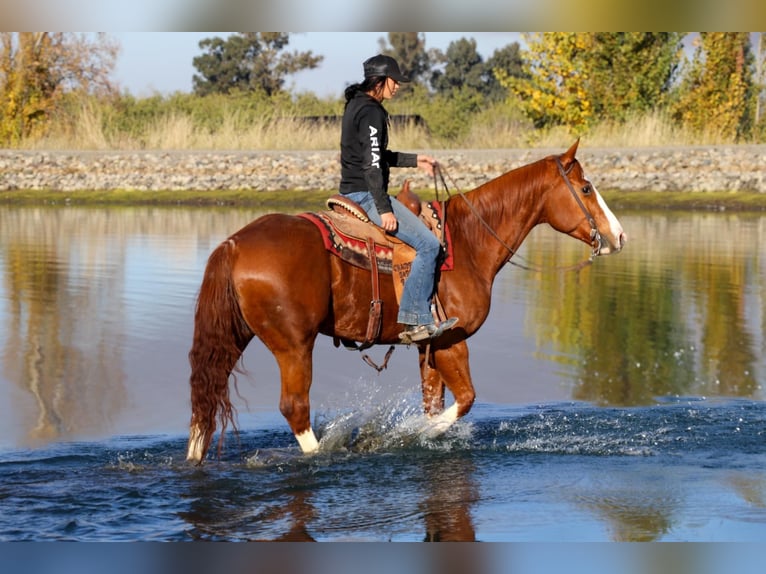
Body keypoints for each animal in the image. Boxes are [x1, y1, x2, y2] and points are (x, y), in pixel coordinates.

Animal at [186, 140, 624, 464]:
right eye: (586, 188)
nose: (618, 236)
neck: (468, 241)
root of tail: (234, 244)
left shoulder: (427, 346)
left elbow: (436, 402)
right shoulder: (450, 339)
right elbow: (464, 401)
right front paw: (408, 435)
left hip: (234, 337)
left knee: (205, 400)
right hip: (294, 345)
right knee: (294, 408)